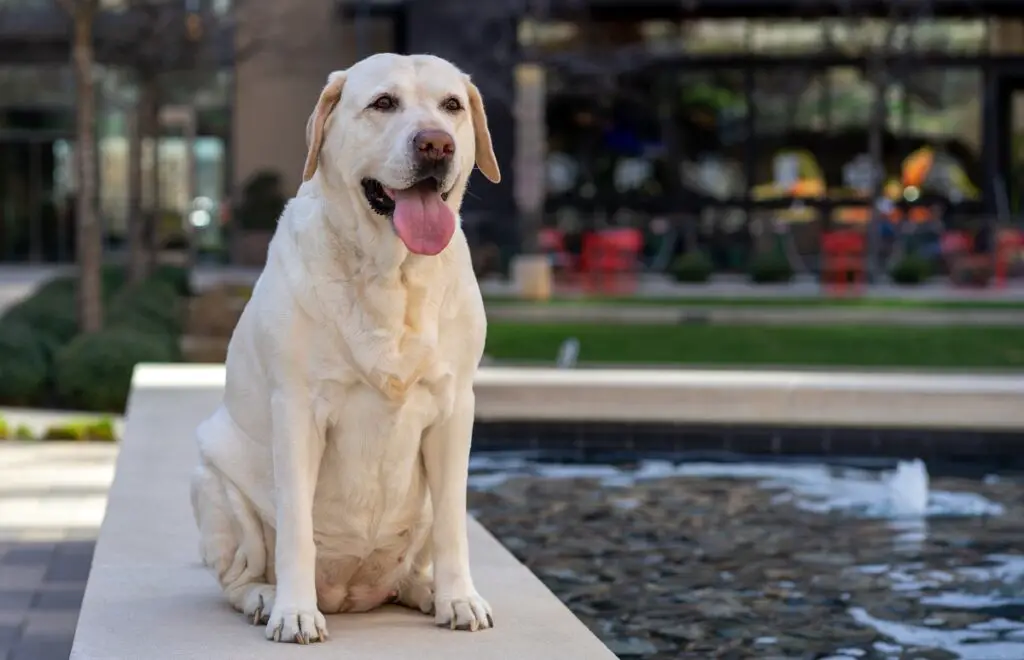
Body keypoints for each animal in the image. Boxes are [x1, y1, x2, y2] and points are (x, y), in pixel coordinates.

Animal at [191, 51, 499, 642]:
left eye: (451, 105)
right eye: (383, 103)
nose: (436, 144)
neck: (393, 275)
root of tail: (353, 594)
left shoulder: (455, 410)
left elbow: (454, 523)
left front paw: (460, 598)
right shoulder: (296, 409)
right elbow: (295, 527)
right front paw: (294, 611)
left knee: (415, 558)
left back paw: (425, 590)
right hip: (215, 479)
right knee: (236, 577)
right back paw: (267, 597)